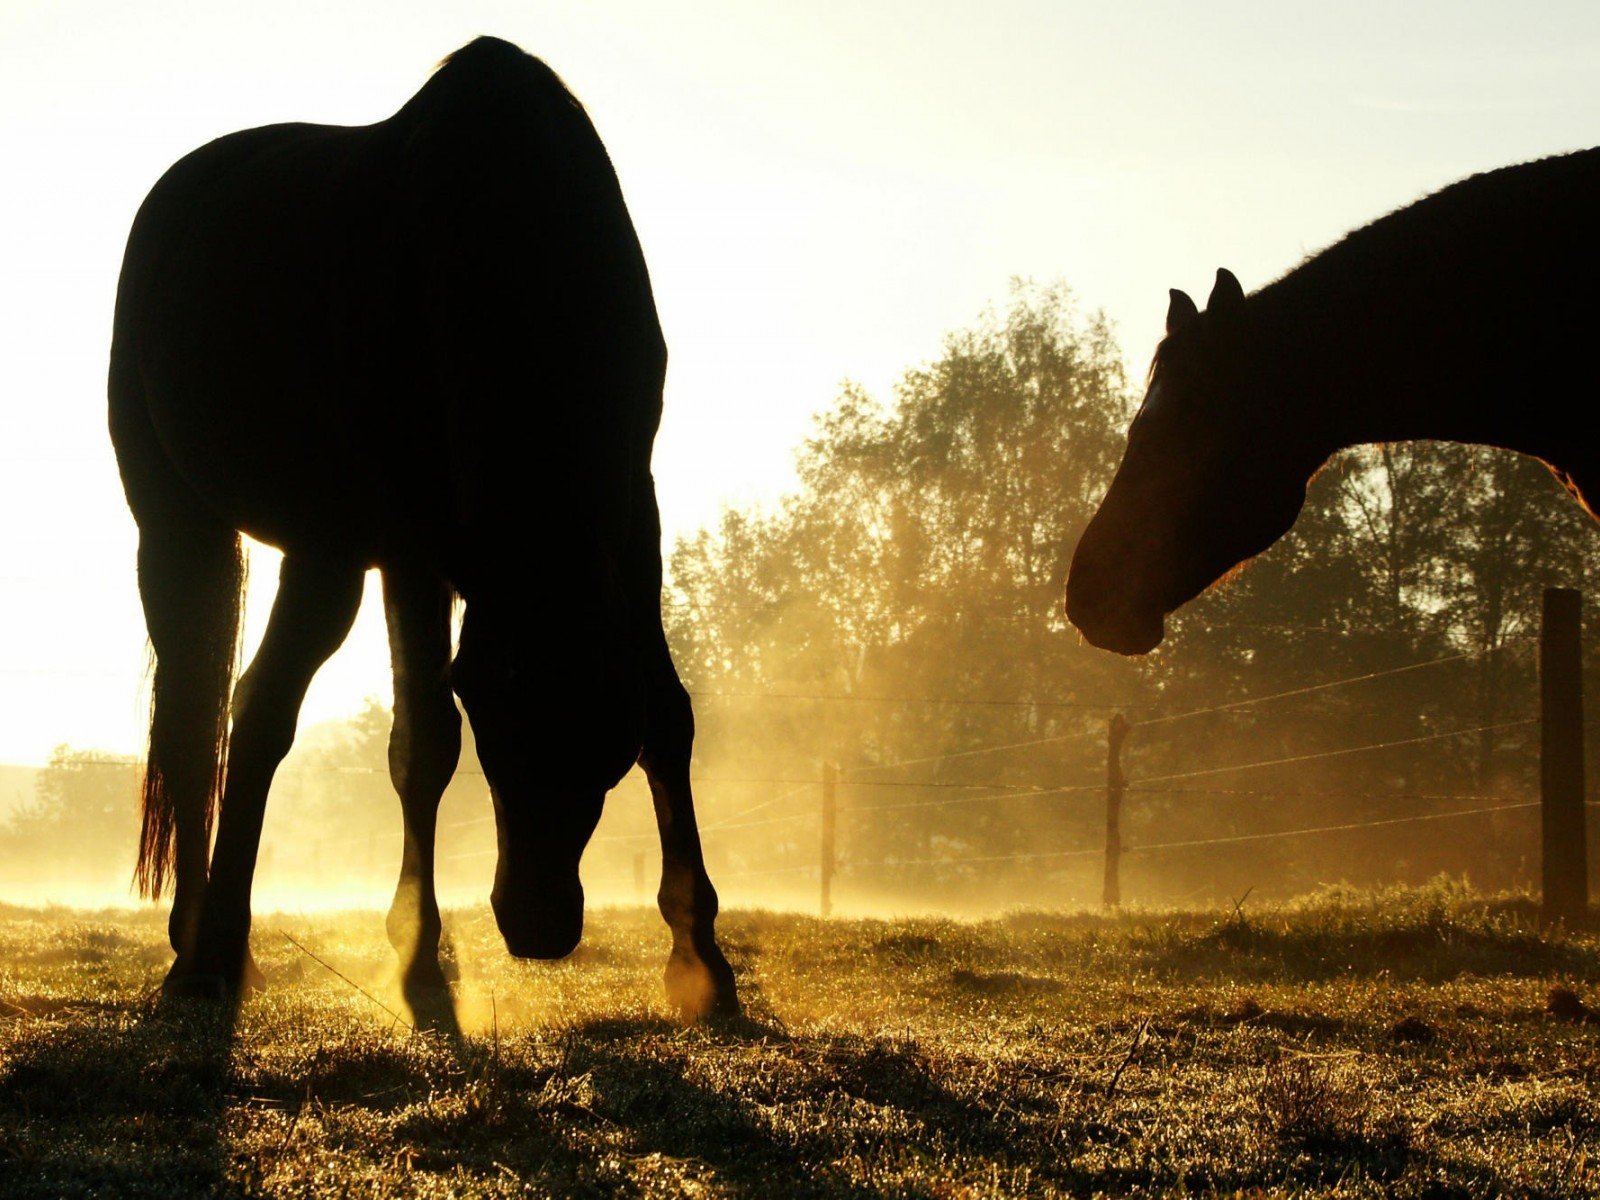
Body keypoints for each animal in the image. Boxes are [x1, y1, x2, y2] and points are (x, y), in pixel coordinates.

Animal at [108, 36, 738, 1019]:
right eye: (499, 724)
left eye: (605, 745)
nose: (540, 927)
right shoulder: (388, 547)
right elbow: (399, 738)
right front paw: (404, 955)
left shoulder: (629, 517)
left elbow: (665, 716)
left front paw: (700, 956)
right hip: (186, 524)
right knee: (204, 717)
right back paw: (201, 948)